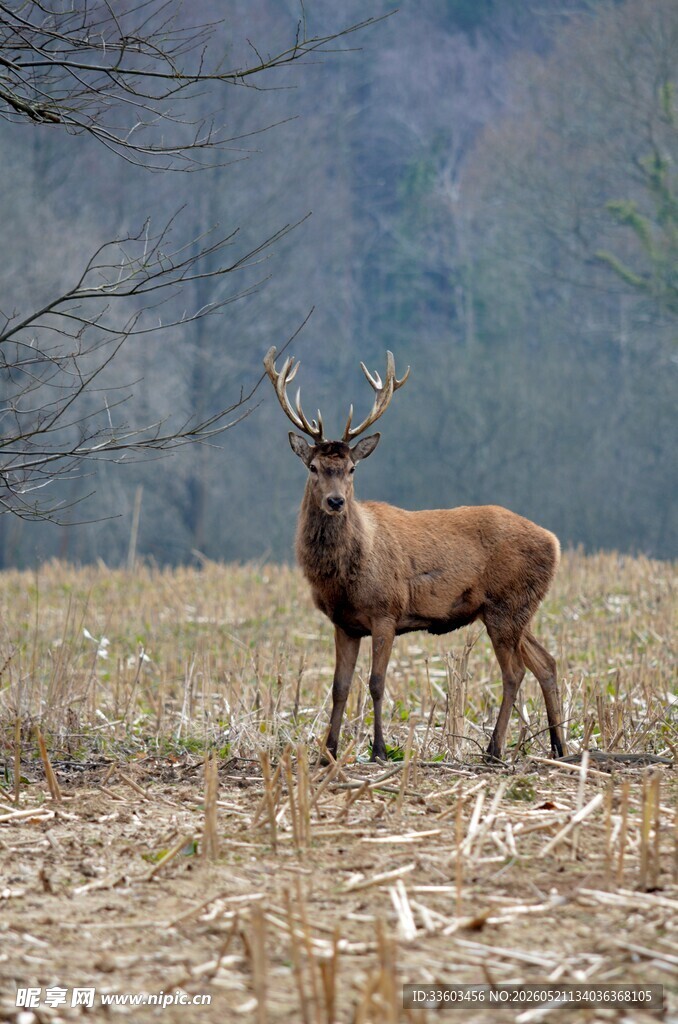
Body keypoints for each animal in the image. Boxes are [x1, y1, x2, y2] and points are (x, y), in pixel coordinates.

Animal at [264, 346, 566, 763]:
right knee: (546, 663)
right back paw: (558, 747)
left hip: (506, 607)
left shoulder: (386, 611)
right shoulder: (344, 623)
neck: (343, 576)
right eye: (313, 466)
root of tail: (554, 542)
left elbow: (376, 683)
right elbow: (339, 687)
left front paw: (378, 749)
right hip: (519, 610)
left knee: (514, 672)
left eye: (352, 468)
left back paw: (494, 750)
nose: (336, 501)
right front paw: (328, 752)